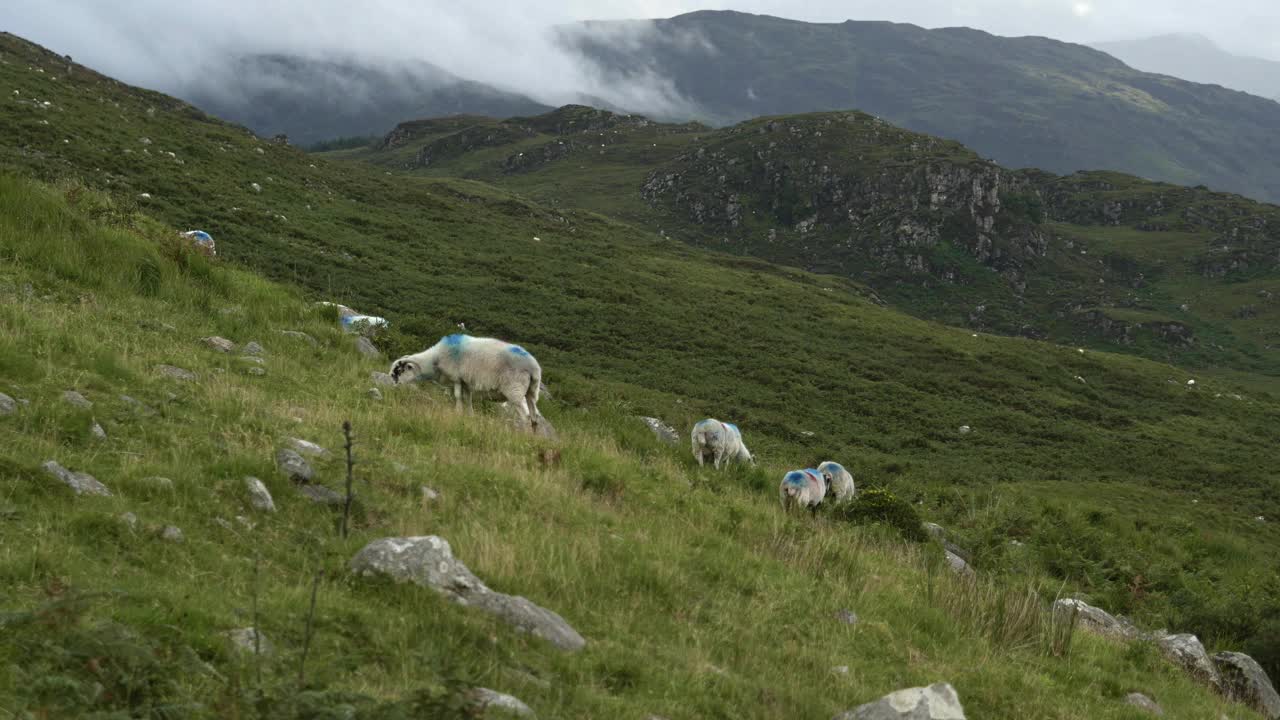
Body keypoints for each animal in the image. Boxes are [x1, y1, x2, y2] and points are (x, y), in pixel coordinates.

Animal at [386, 333, 542, 427]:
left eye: (398, 372)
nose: (392, 388)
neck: (435, 360)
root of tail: (534, 367)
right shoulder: (466, 383)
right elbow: (468, 400)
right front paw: (469, 416)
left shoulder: (457, 378)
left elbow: (457, 396)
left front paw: (457, 413)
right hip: (531, 391)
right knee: (534, 417)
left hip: (514, 390)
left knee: (525, 417)